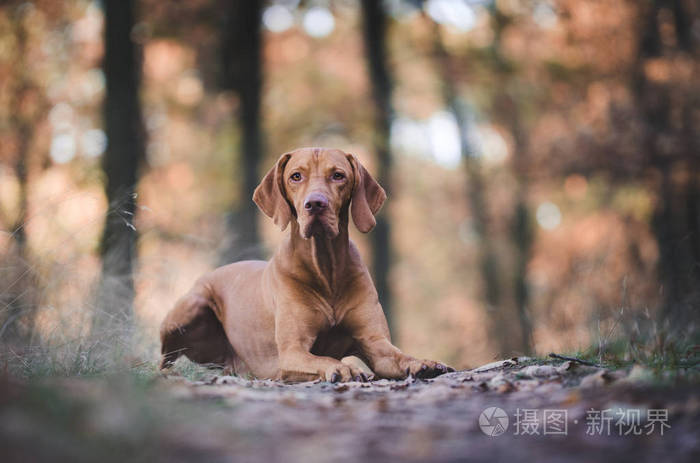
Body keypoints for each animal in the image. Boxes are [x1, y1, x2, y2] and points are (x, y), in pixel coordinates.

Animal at [160, 147, 454, 382]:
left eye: (338, 175)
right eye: (296, 176)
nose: (315, 204)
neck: (325, 267)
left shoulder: (376, 343)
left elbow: (398, 356)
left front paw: (423, 363)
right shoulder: (291, 352)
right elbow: (323, 359)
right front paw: (345, 368)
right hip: (189, 308)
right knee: (165, 359)